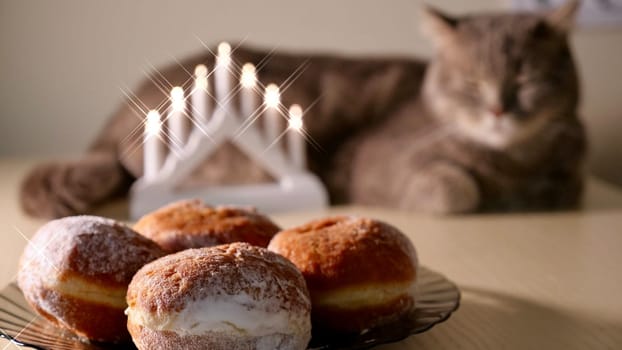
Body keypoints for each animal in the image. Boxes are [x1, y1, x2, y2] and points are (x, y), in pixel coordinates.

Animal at [18, 0, 584, 219]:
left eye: (526, 79)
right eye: (471, 83)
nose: (498, 110)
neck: (514, 159)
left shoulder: (563, 168)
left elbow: (561, 187)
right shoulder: (374, 159)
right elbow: (454, 190)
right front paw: (479, 191)